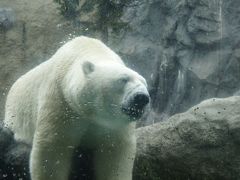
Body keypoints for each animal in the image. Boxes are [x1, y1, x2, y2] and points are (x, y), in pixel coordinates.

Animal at [3, 36, 149, 180]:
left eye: (144, 83)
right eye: (123, 79)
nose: (141, 98)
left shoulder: (115, 124)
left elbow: (115, 151)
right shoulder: (61, 100)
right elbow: (53, 147)